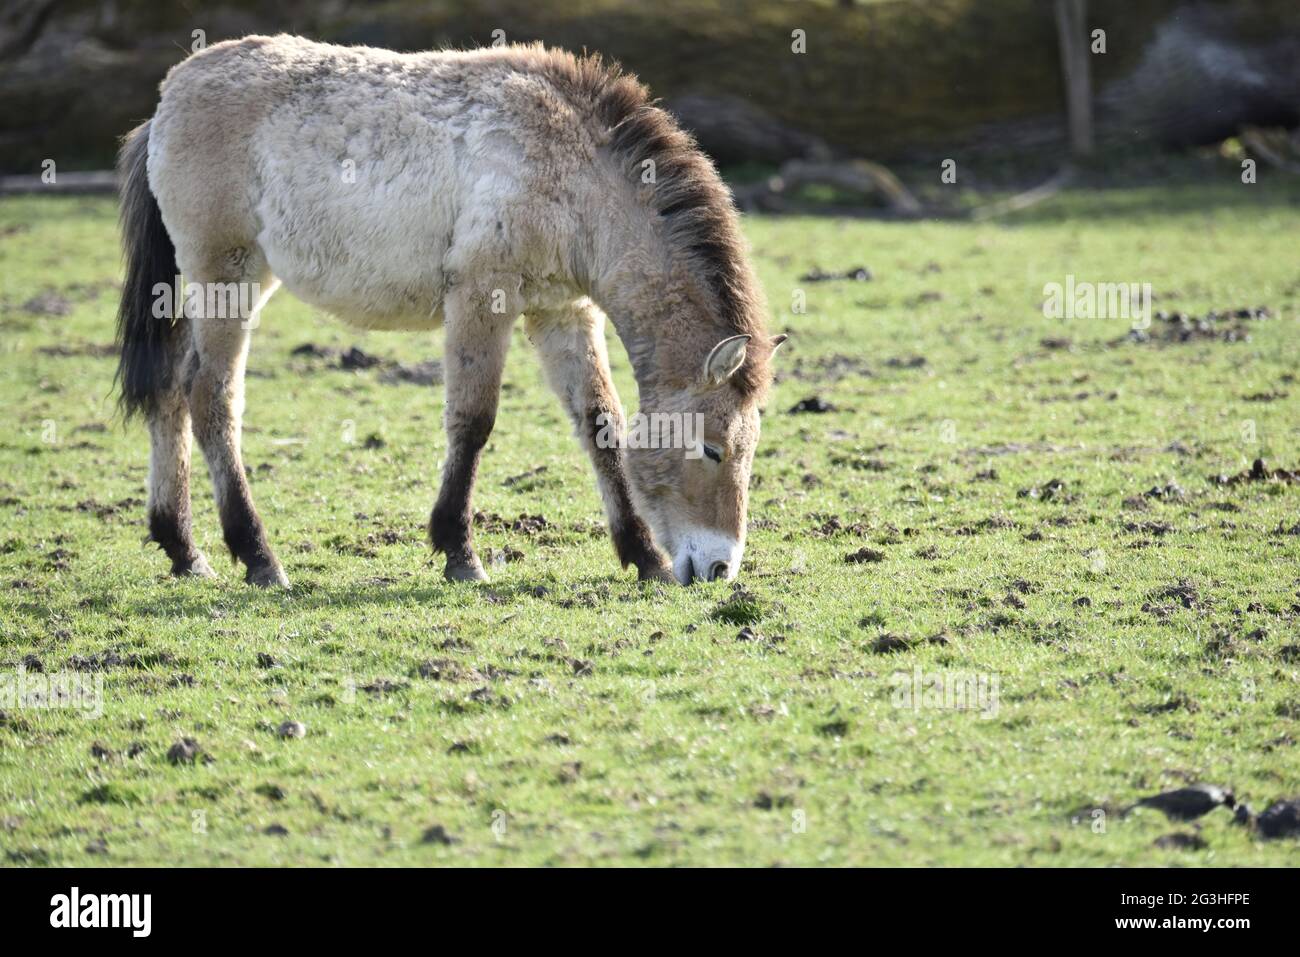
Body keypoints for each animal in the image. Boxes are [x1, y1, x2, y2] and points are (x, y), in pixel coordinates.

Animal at [114, 34, 785, 588]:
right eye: (712, 449)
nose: (719, 567)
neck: (572, 168)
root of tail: (167, 100)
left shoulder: (561, 311)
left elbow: (600, 422)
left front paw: (643, 557)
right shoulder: (481, 297)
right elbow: (473, 419)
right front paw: (460, 554)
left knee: (170, 394)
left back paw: (184, 551)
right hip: (227, 277)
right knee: (211, 398)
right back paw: (258, 558)